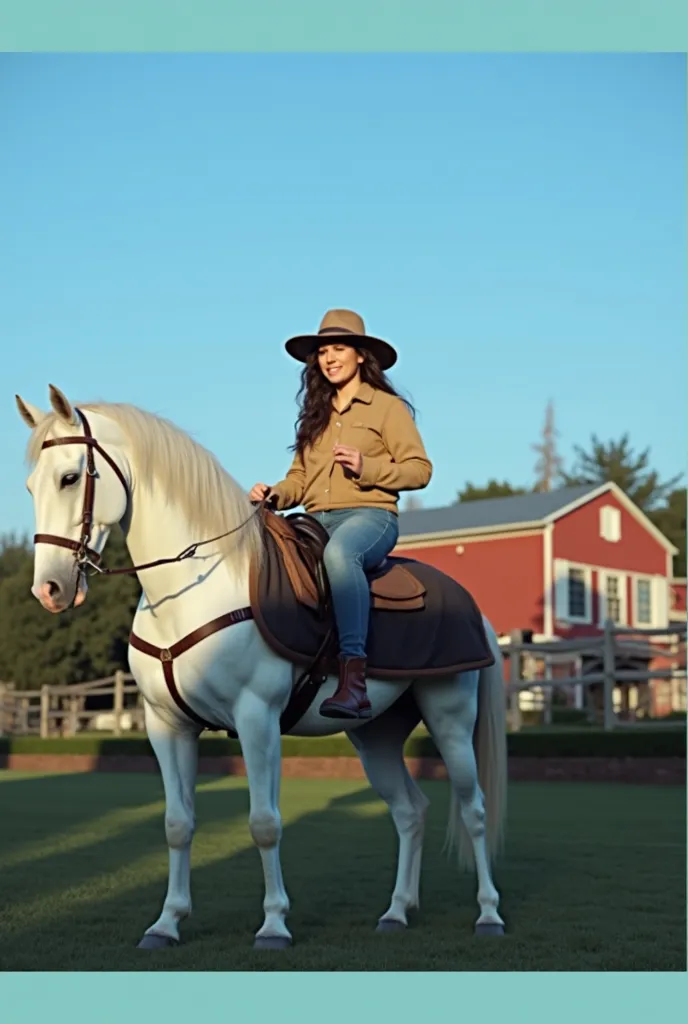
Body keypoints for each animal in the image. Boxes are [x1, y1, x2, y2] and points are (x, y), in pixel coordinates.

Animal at [14, 385, 509, 950]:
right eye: (30, 485)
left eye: (70, 478)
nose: (49, 589)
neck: (194, 589)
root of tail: (471, 606)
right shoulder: (167, 726)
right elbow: (177, 824)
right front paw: (166, 923)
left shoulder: (257, 720)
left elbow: (264, 823)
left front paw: (273, 924)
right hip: (375, 735)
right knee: (410, 811)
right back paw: (397, 911)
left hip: (451, 719)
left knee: (474, 809)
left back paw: (488, 914)